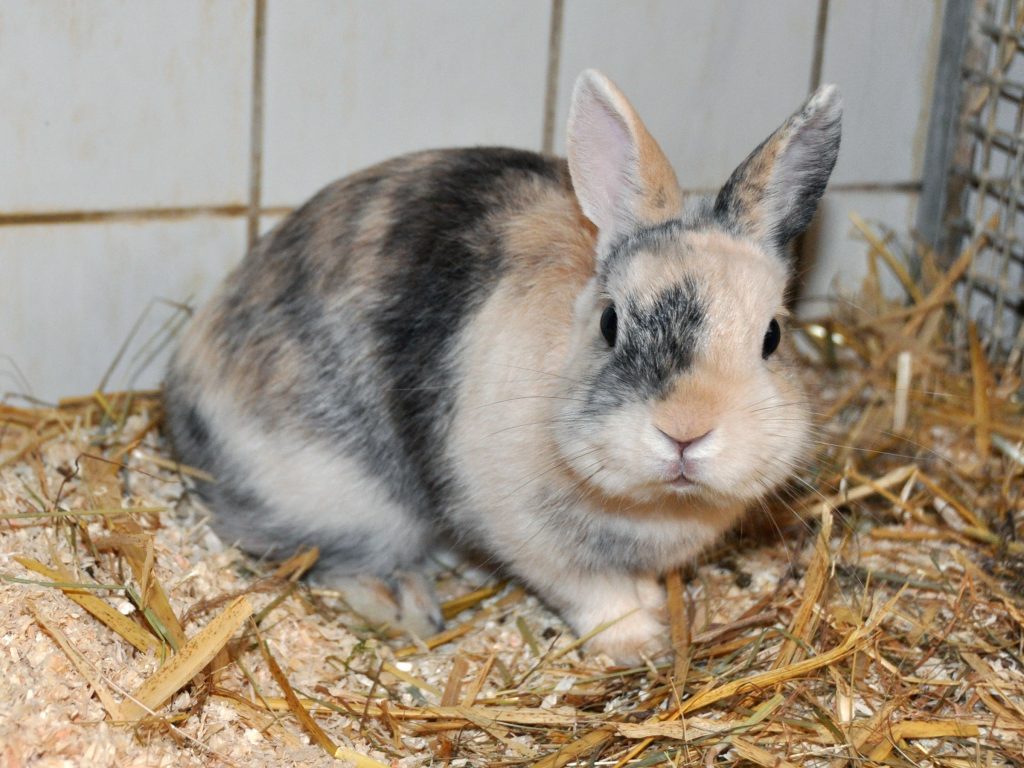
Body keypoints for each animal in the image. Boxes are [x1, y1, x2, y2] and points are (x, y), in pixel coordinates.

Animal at [164, 69, 841, 662]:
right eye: (609, 323)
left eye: (773, 335)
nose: (685, 430)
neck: (655, 505)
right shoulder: (530, 537)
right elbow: (595, 595)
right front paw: (636, 643)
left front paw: (653, 607)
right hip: (345, 497)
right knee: (334, 556)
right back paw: (406, 605)